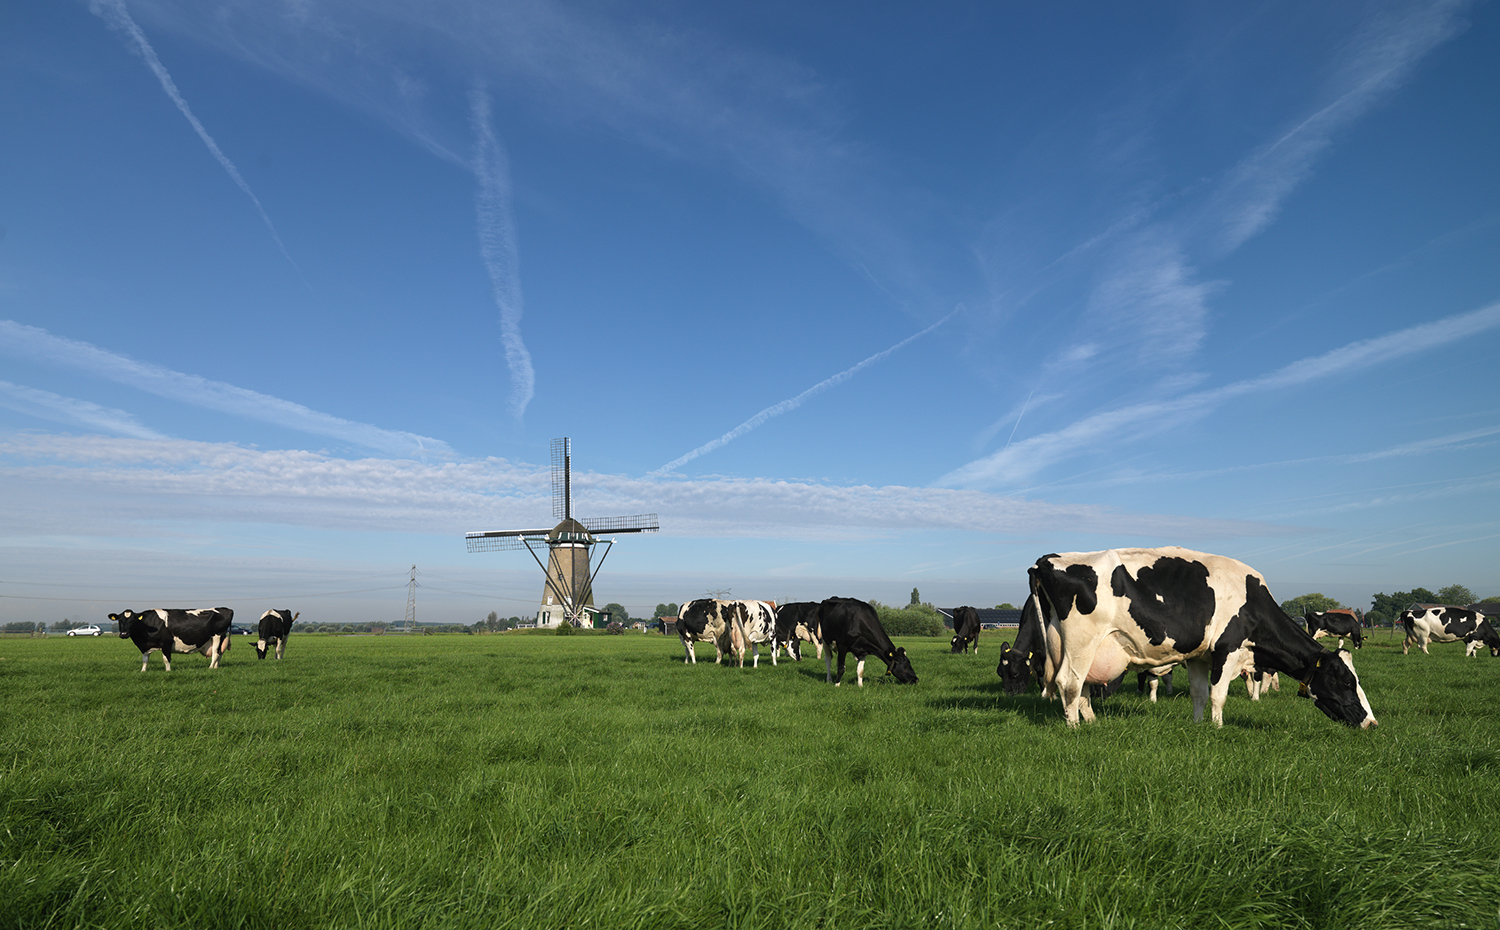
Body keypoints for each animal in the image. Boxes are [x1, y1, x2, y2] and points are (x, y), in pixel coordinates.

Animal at [1032, 549, 1374, 729]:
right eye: (1346, 681)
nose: (1372, 723)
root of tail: (1049, 559)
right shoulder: (1227, 649)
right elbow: (1217, 694)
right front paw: (1218, 727)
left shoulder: (1199, 656)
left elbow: (1198, 693)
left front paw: (1199, 725)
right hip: (1082, 642)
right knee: (1069, 683)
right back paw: (1075, 727)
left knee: (1083, 686)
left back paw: (1090, 721)